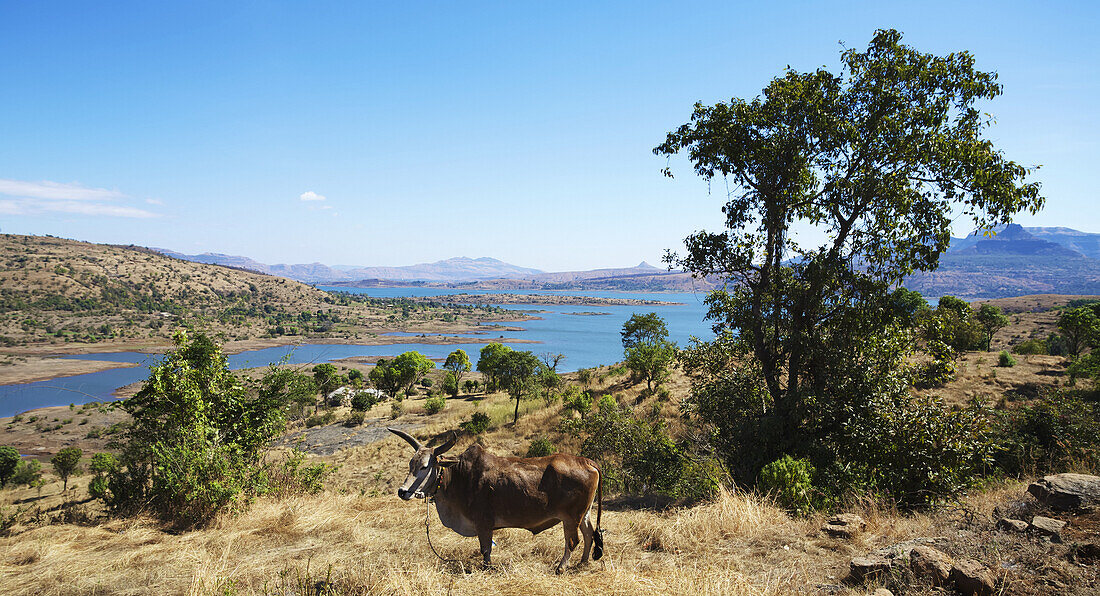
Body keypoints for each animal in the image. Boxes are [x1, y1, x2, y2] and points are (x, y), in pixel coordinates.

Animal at [391, 426, 607, 571]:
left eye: (425, 466)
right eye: (411, 464)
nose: (403, 491)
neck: (459, 476)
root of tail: (586, 461)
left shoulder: (483, 524)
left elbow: (485, 549)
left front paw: (487, 567)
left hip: (571, 518)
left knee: (573, 541)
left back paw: (561, 567)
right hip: (584, 514)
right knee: (589, 534)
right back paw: (583, 562)